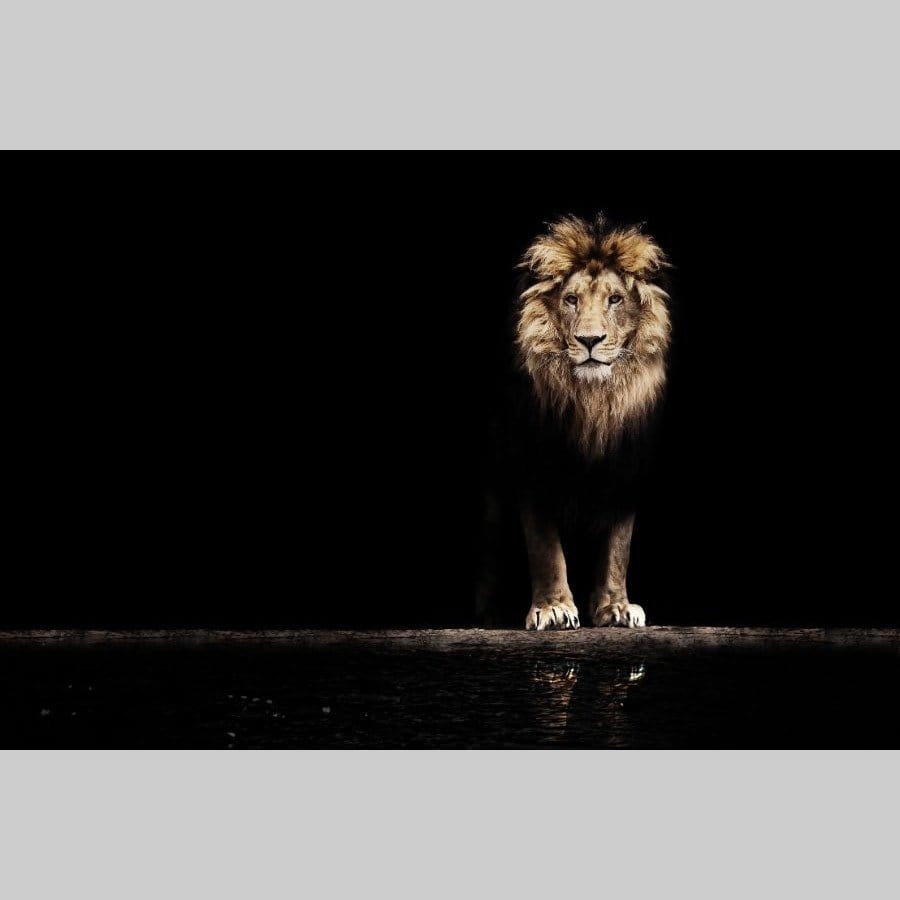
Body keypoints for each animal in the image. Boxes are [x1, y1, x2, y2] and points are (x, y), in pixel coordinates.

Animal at [477, 213, 671, 631]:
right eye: (571, 300)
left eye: (615, 299)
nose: (589, 340)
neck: (592, 402)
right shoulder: (532, 464)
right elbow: (545, 548)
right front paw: (553, 608)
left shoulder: (625, 467)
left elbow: (618, 547)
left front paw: (616, 607)